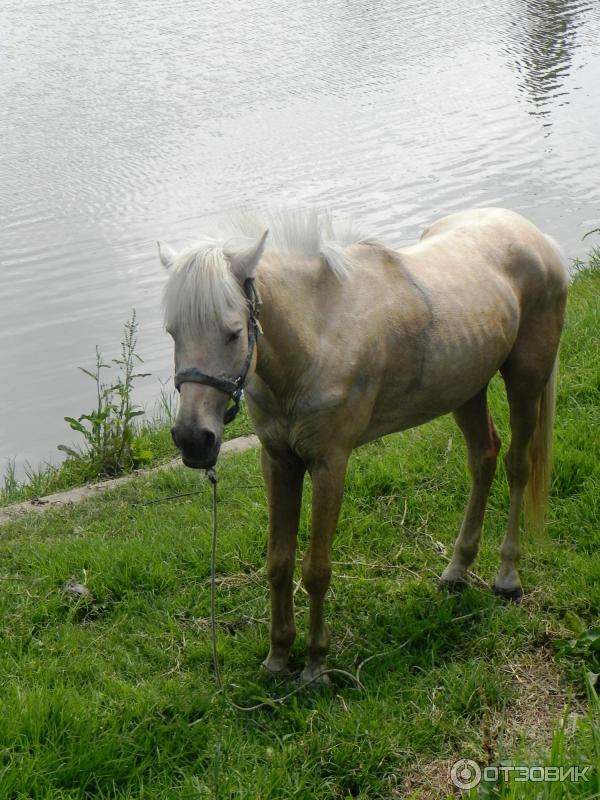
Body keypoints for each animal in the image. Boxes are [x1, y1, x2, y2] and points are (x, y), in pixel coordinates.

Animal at [158, 206, 568, 680]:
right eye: (172, 332)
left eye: (233, 333)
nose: (193, 439)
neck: (317, 336)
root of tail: (534, 236)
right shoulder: (278, 461)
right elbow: (278, 562)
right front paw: (278, 657)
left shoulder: (329, 463)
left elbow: (315, 569)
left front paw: (315, 666)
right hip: (467, 389)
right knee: (484, 458)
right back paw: (456, 570)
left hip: (526, 380)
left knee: (518, 467)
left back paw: (507, 576)